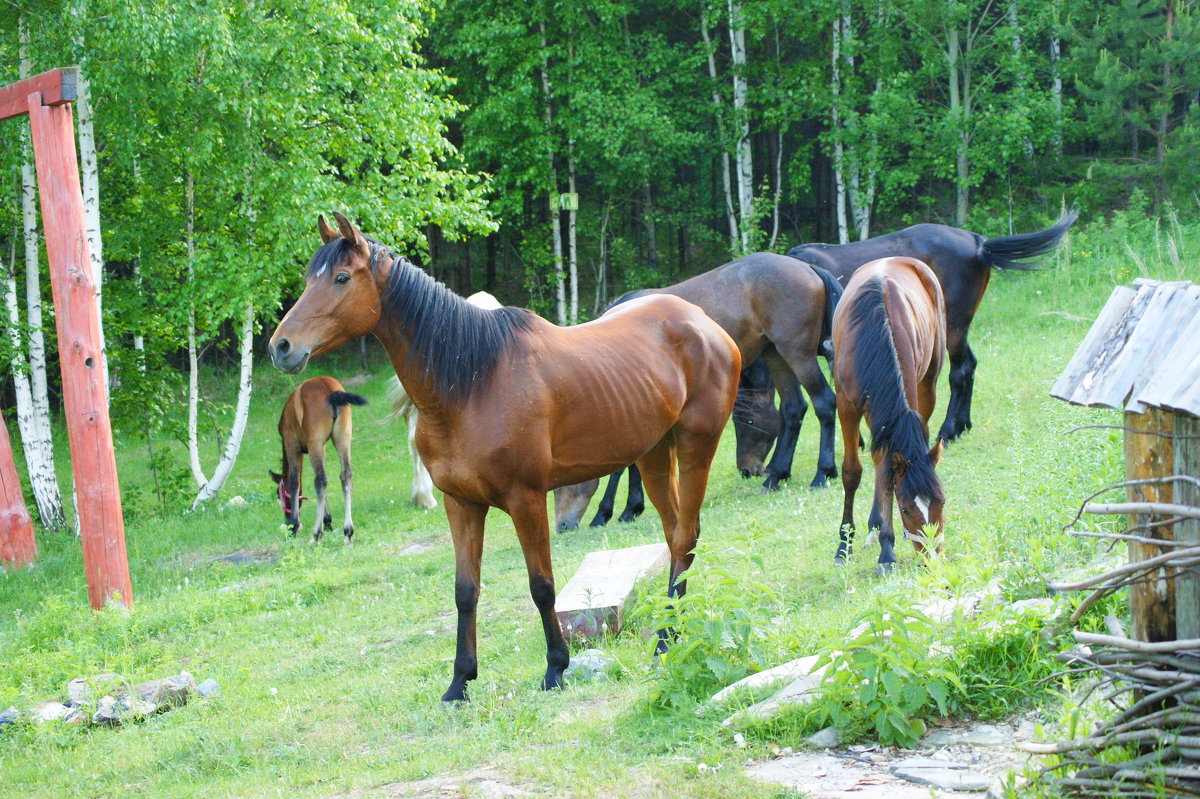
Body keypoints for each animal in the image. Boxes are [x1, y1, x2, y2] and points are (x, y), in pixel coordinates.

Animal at [271, 374, 367, 542]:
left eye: (279, 493)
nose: (287, 521)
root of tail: (331, 393)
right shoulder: (321, 447)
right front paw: (327, 520)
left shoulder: (292, 443)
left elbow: (295, 481)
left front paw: (294, 525)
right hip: (342, 438)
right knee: (345, 475)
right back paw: (347, 531)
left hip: (315, 442)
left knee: (320, 479)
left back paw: (316, 534)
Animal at [787, 211, 1080, 441]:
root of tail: (979, 243)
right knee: (970, 364)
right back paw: (963, 425)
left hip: (952, 325)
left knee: (959, 371)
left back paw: (948, 430)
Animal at [835, 255, 945, 573]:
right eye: (906, 508)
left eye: (941, 502)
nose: (933, 557)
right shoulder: (846, 405)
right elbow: (851, 472)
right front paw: (843, 546)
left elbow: (886, 472)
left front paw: (887, 548)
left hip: (927, 383)